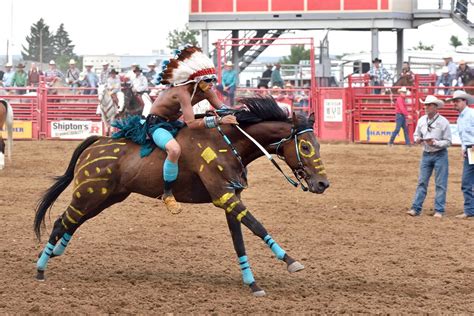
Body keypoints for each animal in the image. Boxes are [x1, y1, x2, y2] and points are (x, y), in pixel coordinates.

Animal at [33, 96, 330, 296]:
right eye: (305, 146)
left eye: (317, 144)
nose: (322, 183)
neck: (226, 143)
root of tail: (96, 142)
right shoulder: (224, 197)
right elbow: (258, 226)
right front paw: (290, 262)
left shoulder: (230, 199)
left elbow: (240, 243)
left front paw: (252, 282)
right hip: (89, 195)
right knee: (61, 222)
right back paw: (40, 269)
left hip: (105, 198)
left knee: (70, 222)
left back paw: (56, 252)